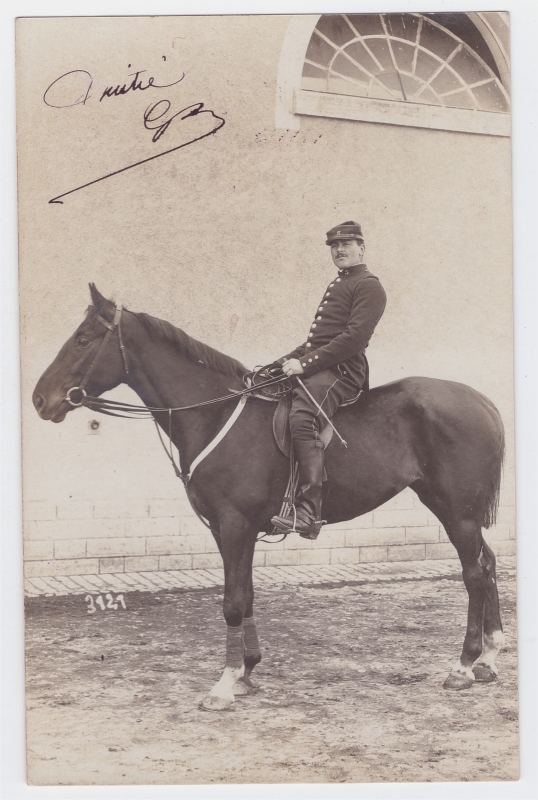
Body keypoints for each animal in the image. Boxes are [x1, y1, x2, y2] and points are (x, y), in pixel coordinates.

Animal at [32, 284, 502, 708]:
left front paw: (224, 685)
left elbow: (233, 602)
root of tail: (482, 401)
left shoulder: (234, 524)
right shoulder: (226, 530)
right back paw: (490, 657)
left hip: (457, 512)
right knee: (488, 563)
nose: (39, 399)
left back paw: (463, 665)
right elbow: (248, 594)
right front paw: (246, 671)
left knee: (473, 574)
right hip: (450, 507)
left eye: (83, 339)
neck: (214, 412)